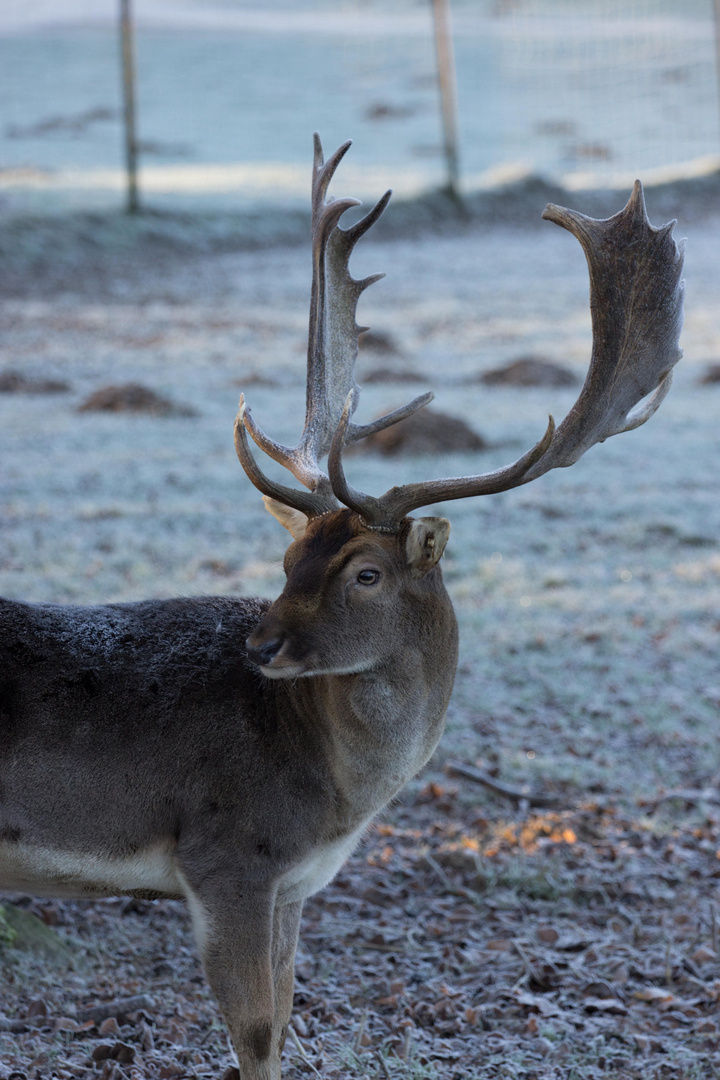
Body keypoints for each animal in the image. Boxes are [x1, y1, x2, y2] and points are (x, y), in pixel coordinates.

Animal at [0, 137, 686, 1080]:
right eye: (290, 559)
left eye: (362, 572)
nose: (261, 646)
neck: (334, 796)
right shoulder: (227, 853)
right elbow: (257, 1035)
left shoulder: (292, 884)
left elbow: (287, 1016)